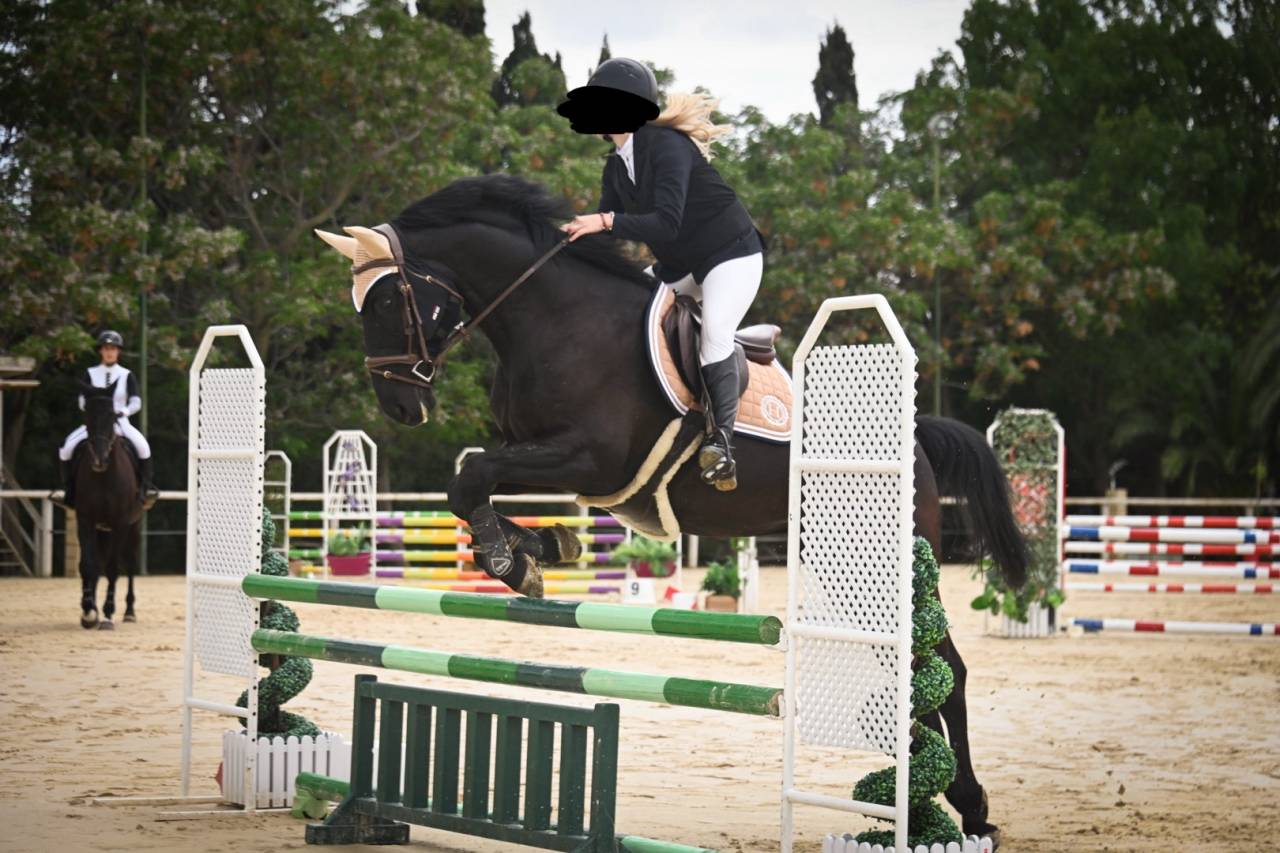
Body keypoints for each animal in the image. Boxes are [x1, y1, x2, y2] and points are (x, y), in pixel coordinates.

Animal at [72, 382, 141, 630]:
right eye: (87, 416)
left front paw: (108, 613)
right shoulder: (85, 520)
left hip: (133, 528)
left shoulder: (120, 522)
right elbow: (88, 565)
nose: (99, 460)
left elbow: (113, 568)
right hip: (102, 530)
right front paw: (88, 611)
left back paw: (129, 611)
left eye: (112, 415)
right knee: (97, 564)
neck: (104, 477)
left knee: (130, 564)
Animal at [316, 174, 1028, 844]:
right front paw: (541, 550)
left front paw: (510, 562)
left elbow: (471, 480)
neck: (554, 319)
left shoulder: (587, 459)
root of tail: (916, 437)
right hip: (836, 558)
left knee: (944, 667)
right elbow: (469, 487)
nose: (401, 407)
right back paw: (937, 800)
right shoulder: (546, 459)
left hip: (879, 556)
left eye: (387, 299)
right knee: (910, 667)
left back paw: (966, 808)